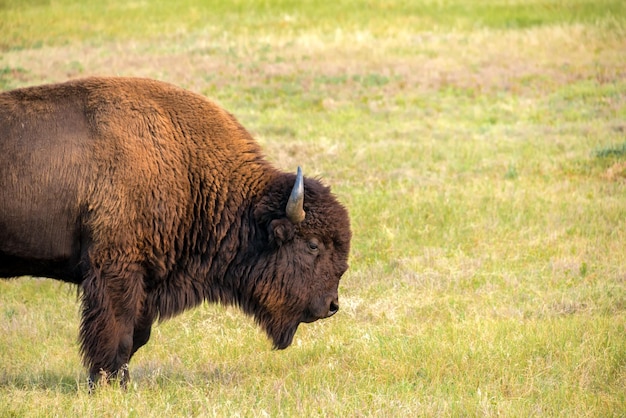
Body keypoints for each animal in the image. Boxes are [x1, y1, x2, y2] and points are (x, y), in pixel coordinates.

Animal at [0, 76, 352, 388]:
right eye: (312, 244)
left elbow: (137, 336)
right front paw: (106, 385)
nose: (332, 305)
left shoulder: (145, 282)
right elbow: (116, 334)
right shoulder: (115, 271)